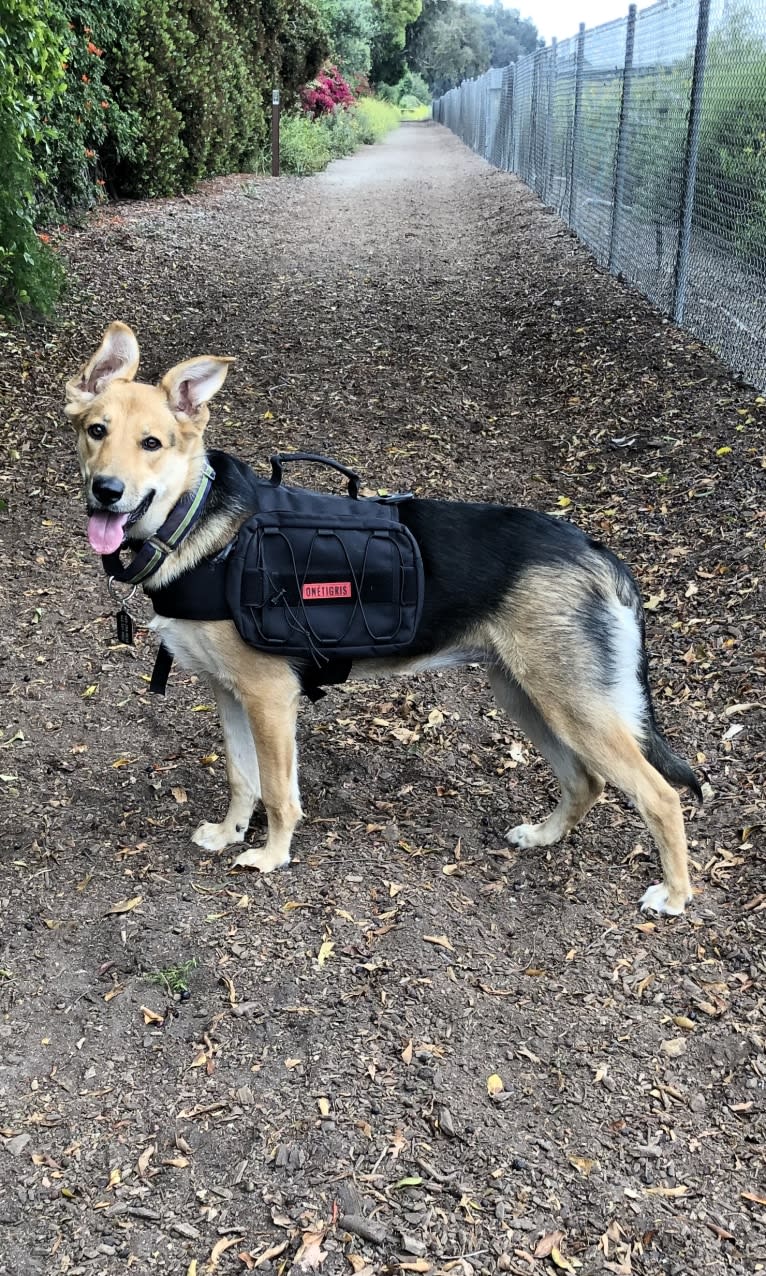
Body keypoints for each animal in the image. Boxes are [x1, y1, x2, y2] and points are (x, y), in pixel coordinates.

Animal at [65, 324, 699, 913]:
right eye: (97, 431)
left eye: (152, 443)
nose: (107, 491)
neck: (194, 522)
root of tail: (595, 551)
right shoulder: (230, 693)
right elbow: (242, 778)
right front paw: (227, 834)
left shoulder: (270, 697)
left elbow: (277, 791)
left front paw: (272, 856)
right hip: (525, 695)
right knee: (586, 781)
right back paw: (544, 836)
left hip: (572, 706)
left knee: (660, 796)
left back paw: (673, 895)